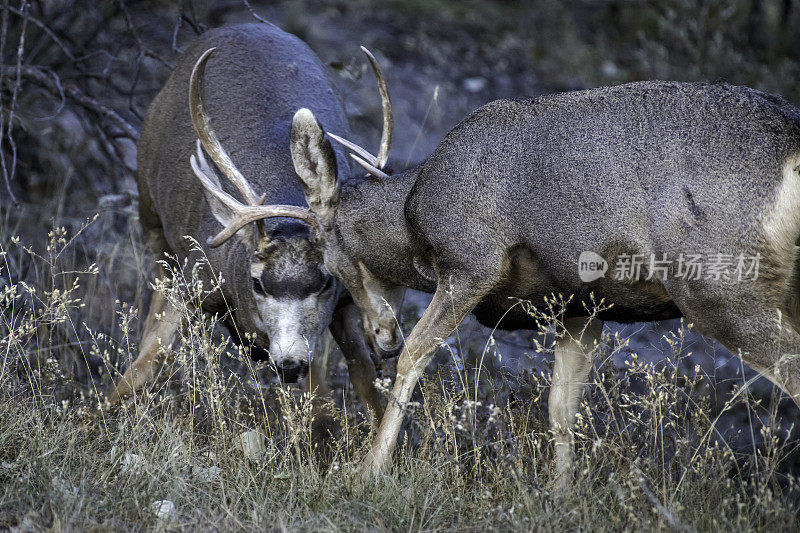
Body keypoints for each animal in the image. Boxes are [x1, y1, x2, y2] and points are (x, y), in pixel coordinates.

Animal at [107, 21, 390, 420]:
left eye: (325, 282)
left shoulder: (346, 301)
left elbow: (354, 390)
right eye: (257, 283)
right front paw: (89, 418)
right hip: (151, 217)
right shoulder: (194, 281)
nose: (288, 362)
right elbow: (142, 366)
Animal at [252, 71, 800, 486]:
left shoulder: (473, 259)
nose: (381, 336)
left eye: (327, 265)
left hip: (722, 287)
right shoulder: (582, 305)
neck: (415, 221)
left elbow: (416, 358)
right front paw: (563, 496)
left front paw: (369, 470)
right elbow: (561, 406)